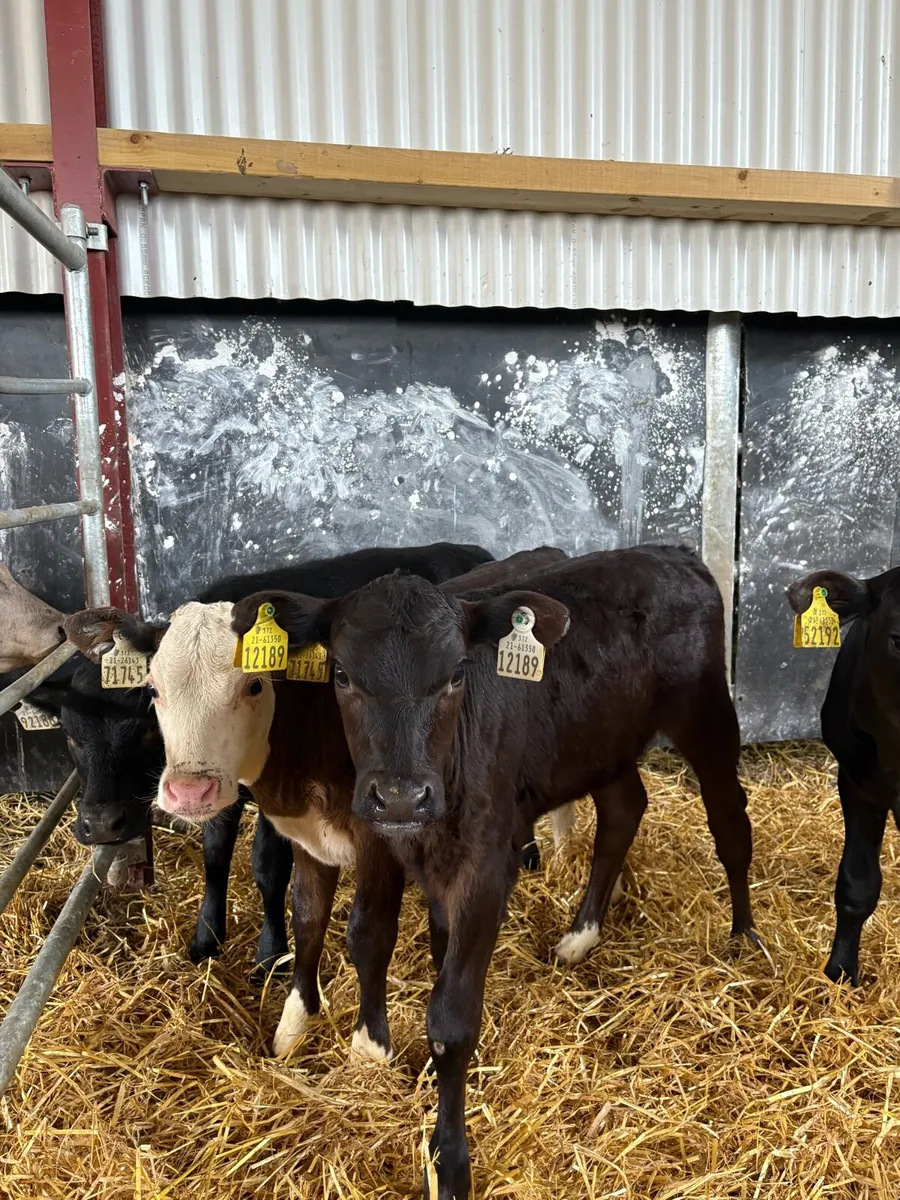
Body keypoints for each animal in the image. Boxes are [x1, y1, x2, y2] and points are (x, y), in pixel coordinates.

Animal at [234, 544, 757, 1199]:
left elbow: (451, 1019)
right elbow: (404, 946)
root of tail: (672, 551)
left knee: (730, 823)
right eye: (343, 676)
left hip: (707, 715)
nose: (400, 796)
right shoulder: (398, 848)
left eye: (457, 673)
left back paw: (745, 938)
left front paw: (449, 1162)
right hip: (601, 744)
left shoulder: (485, 868)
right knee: (624, 808)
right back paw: (581, 935)